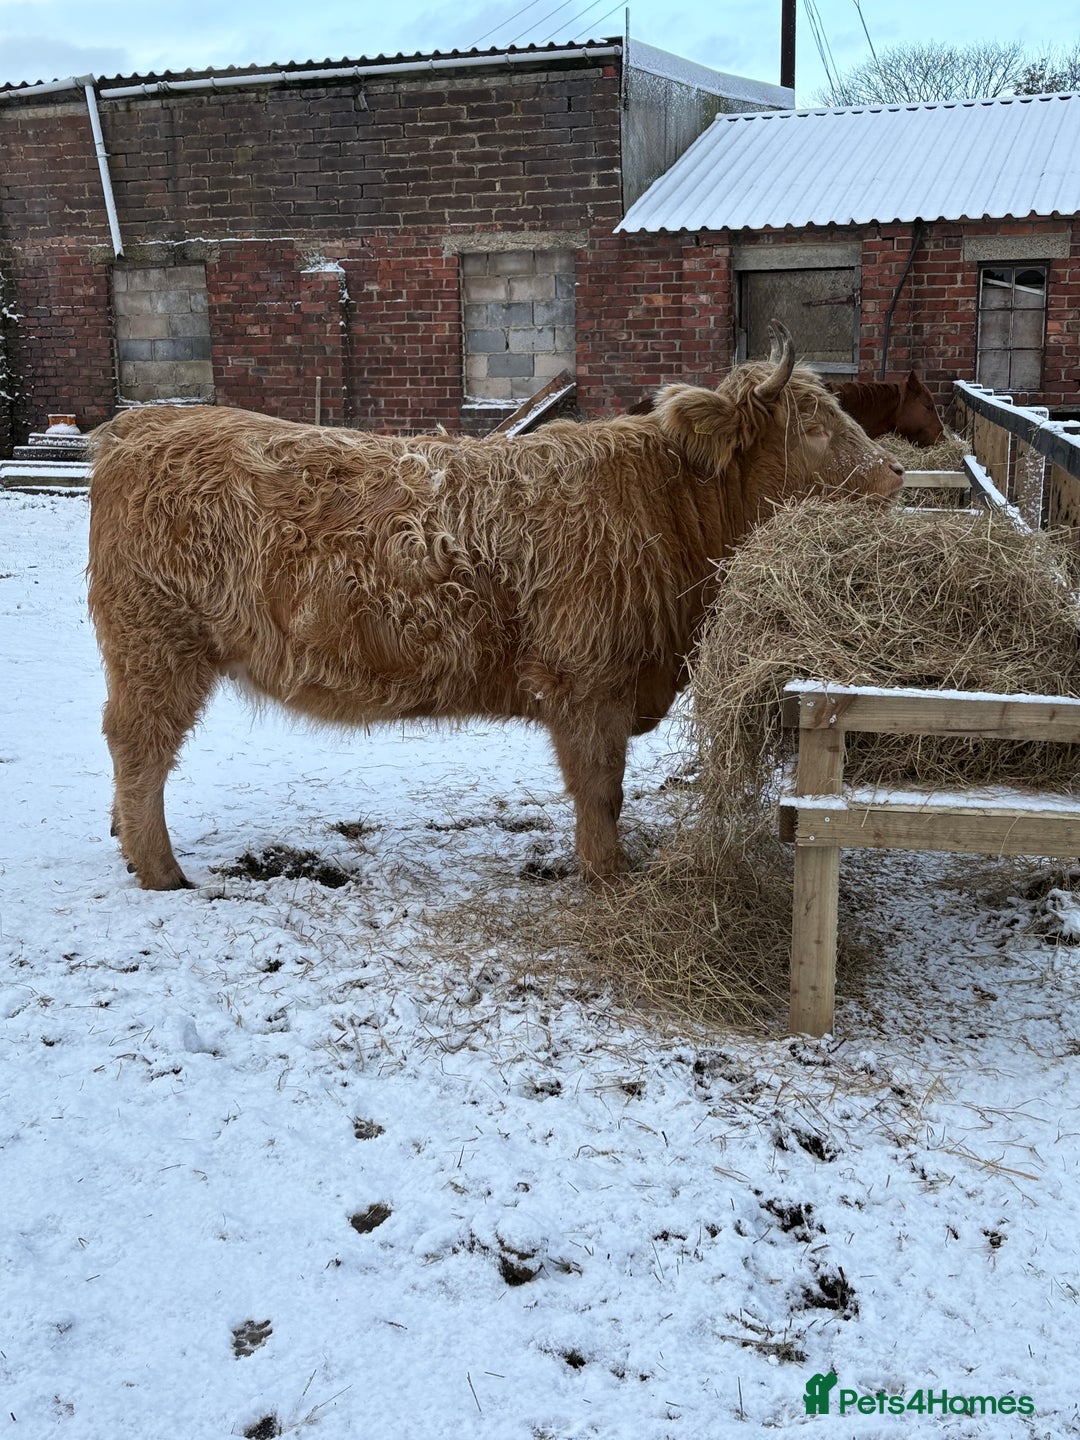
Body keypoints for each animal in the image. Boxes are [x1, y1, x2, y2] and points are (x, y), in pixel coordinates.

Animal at [87, 329, 904, 891]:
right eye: (814, 426)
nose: (895, 473)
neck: (669, 509)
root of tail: (141, 426)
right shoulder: (587, 683)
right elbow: (601, 794)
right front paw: (609, 878)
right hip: (157, 644)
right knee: (139, 745)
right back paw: (162, 871)